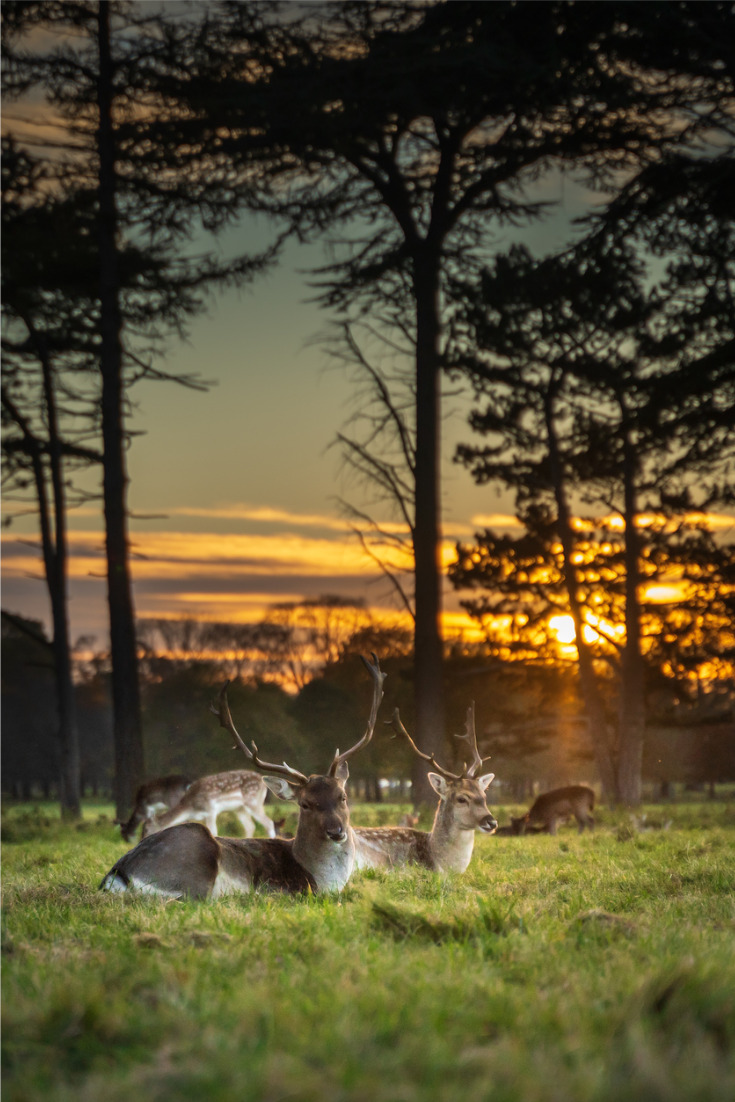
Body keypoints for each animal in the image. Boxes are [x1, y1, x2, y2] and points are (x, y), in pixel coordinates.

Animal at [137, 771, 275, 837]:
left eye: (146, 828)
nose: (141, 840)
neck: (190, 807)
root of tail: (264, 783)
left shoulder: (210, 809)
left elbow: (214, 832)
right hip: (239, 808)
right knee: (250, 826)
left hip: (253, 801)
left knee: (269, 823)